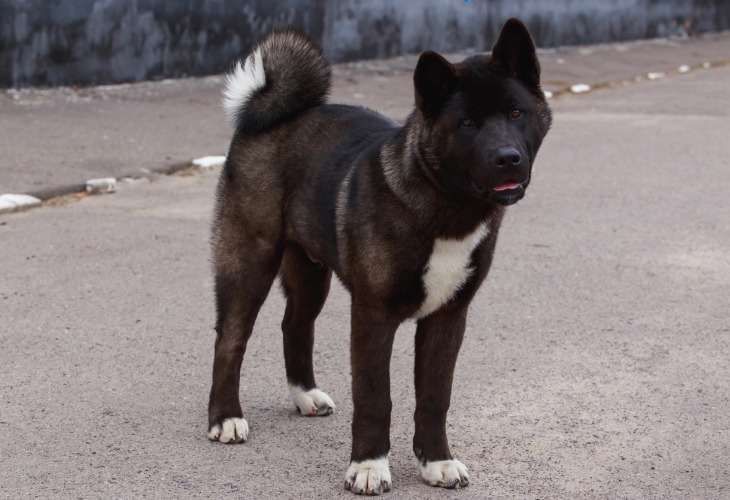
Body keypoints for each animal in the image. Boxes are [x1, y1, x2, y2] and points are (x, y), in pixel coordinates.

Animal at [208, 17, 548, 494]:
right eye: (467, 122)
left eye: (516, 113)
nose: (508, 158)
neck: (445, 206)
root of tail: (271, 115)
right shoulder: (373, 315)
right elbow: (374, 397)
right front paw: (369, 466)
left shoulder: (448, 317)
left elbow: (435, 396)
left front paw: (437, 461)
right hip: (249, 261)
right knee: (231, 338)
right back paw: (225, 418)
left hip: (311, 273)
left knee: (295, 325)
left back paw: (304, 395)